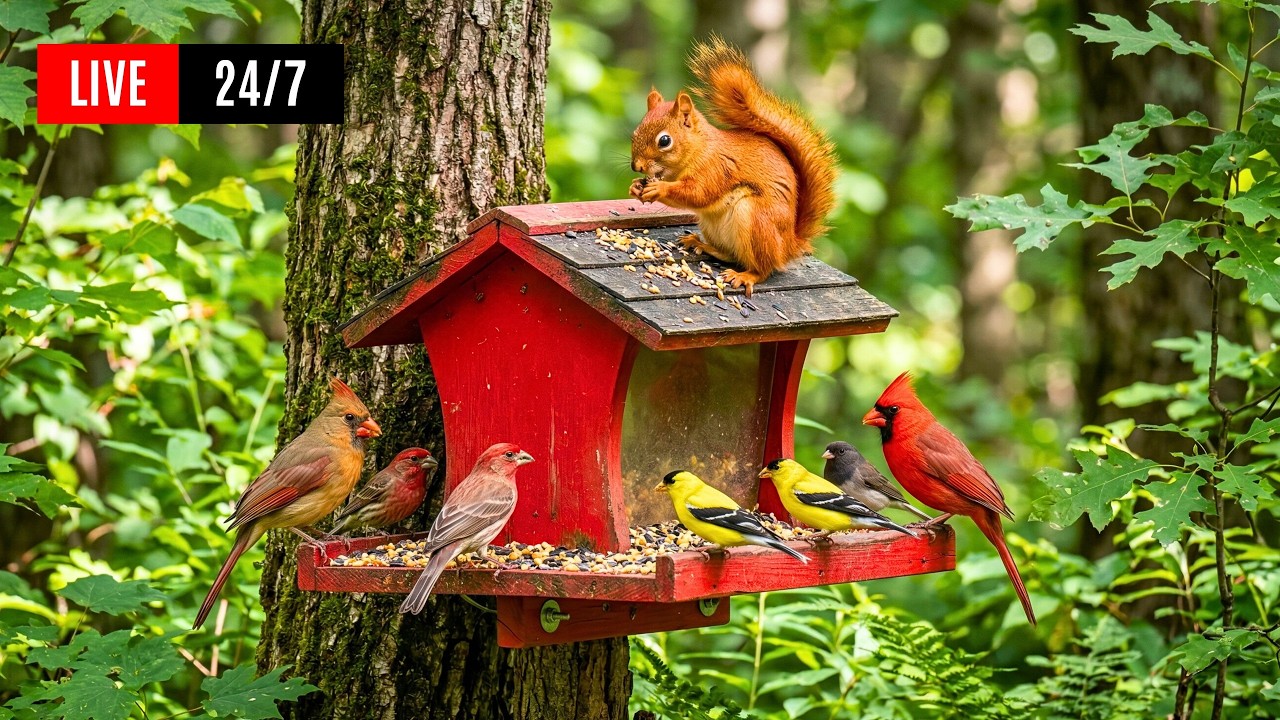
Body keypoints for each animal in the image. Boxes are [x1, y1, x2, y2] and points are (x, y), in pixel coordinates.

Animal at [629, 37, 838, 296]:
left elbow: (698, 194)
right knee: (730, 255)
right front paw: (636, 187)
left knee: (764, 268)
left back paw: (746, 276)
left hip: (756, 220)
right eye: (634, 133)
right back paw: (699, 243)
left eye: (664, 141)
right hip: (712, 225)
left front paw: (659, 189)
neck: (700, 149)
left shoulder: (717, 168)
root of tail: (789, 244)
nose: (636, 166)